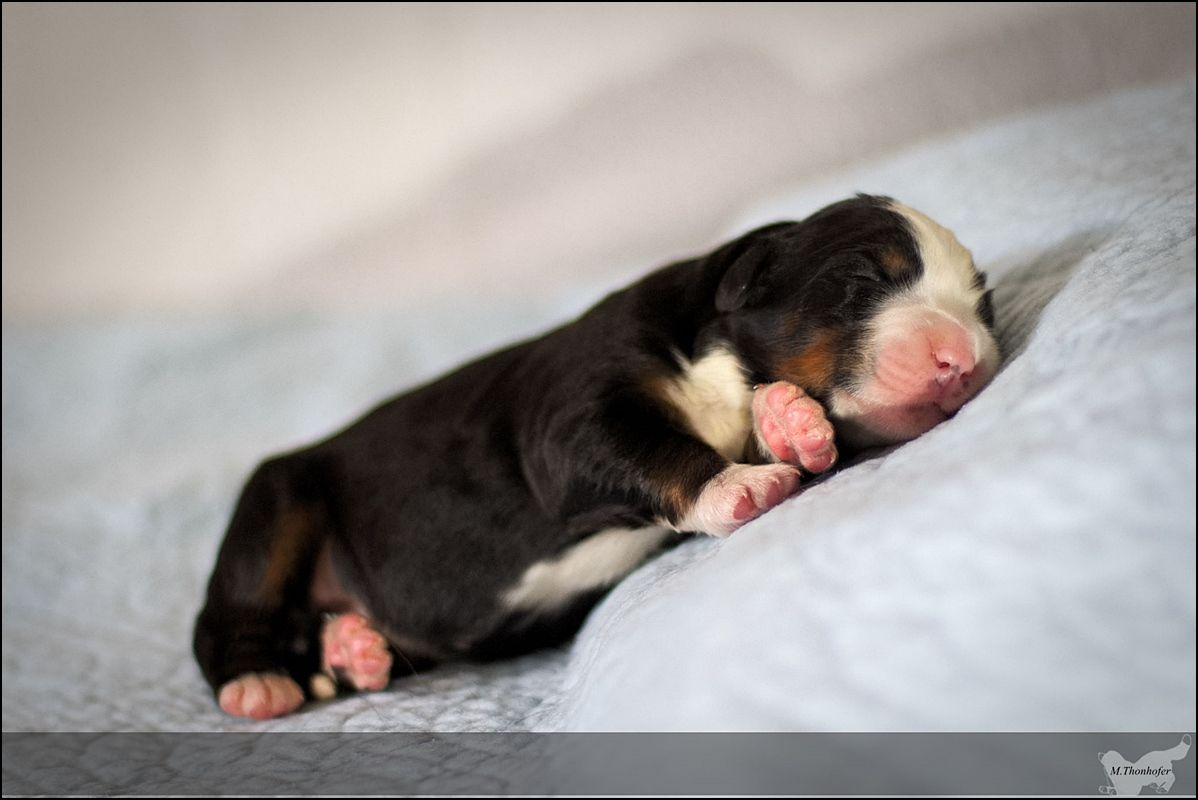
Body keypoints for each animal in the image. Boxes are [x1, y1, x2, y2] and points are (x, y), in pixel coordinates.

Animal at [194, 194, 1000, 719]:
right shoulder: (571, 415)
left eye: (982, 305)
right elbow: (650, 445)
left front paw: (793, 422)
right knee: (231, 612)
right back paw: (258, 681)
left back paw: (353, 651)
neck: (714, 354)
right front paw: (736, 484)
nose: (963, 359)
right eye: (865, 279)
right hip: (277, 502)